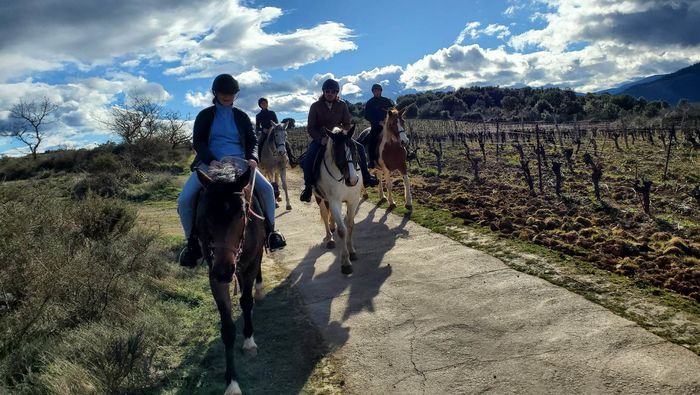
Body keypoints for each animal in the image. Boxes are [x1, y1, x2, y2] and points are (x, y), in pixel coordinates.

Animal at [194, 159, 266, 395]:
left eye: (242, 214)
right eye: (206, 215)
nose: (224, 270)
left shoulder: (251, 264)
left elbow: (245, 301)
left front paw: (249, 341)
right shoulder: (214, 276)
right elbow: (227, 328)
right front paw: (232, 382)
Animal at [314, 125, 364, 274]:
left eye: (354, 149)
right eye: (338, 152)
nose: (352, 180)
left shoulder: (353, 200)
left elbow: (350, 225)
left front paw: (352, 252)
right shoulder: (334, 201)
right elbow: (342, 230)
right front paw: (346, 263)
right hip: (319, 198)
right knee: (325, 214)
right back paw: (329, 238)